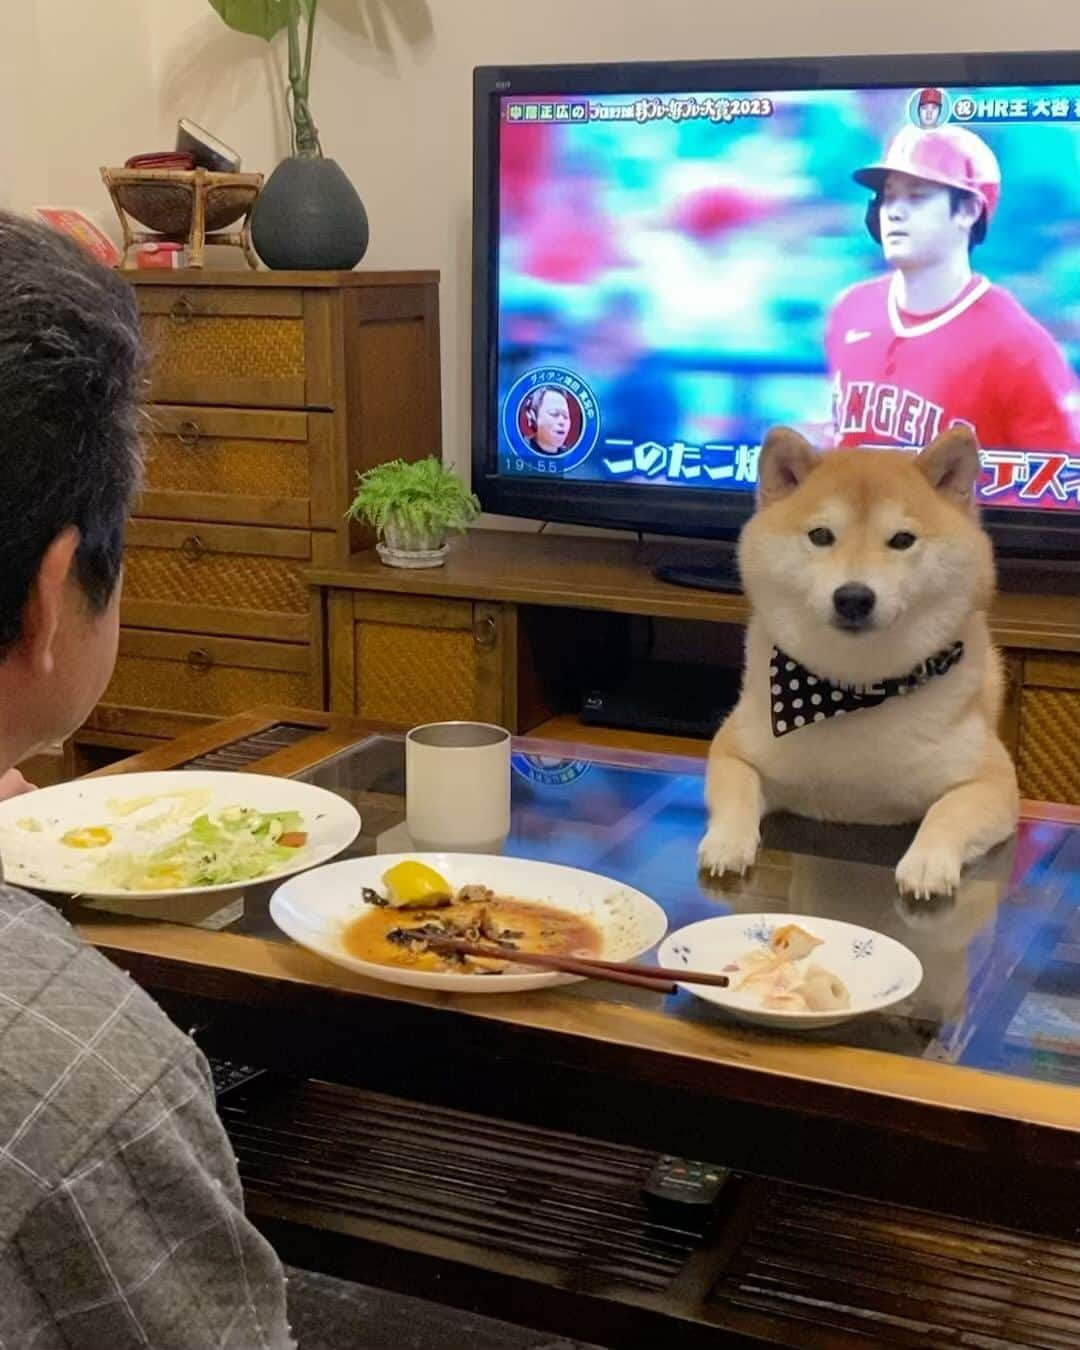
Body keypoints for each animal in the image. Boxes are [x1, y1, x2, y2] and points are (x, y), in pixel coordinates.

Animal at [702, 426, 1020, 901]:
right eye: (821, 535)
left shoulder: (992, 780)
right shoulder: (734, 747)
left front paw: (928, 861)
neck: (854, 689)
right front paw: (727, 843)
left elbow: (948, 811)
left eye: (902, 540)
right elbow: (737, 789)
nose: (853, 596)